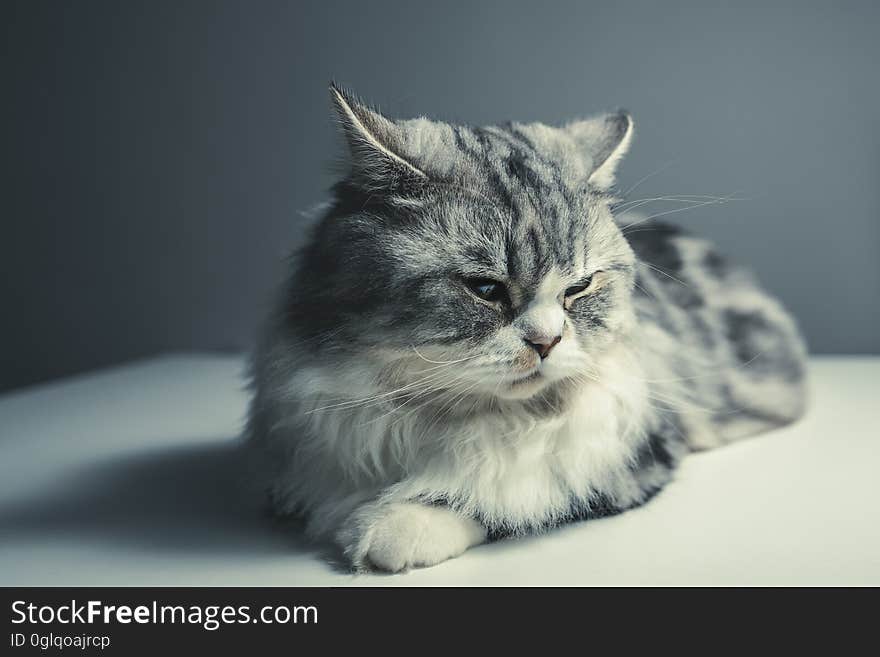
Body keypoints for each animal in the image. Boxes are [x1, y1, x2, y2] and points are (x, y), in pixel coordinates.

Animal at [244, 84, 808, 572]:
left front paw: (393, 526)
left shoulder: (631, 451)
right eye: (485, 288)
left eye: (578, 288)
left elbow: (506, 495)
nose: (546, 342)